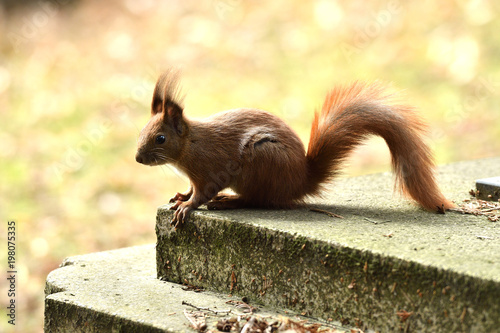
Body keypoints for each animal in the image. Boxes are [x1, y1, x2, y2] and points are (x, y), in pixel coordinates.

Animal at [135, 69, 456, 226]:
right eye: (142, 130)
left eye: (160, 138)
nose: (138, 158)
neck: (190, 146)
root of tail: (301, 181)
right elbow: (191, 188)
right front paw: (182, 196)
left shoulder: (210, 170)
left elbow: (203, 193)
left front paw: (188, 206)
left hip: (261, 160)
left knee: (259, 200)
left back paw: (230, 201)